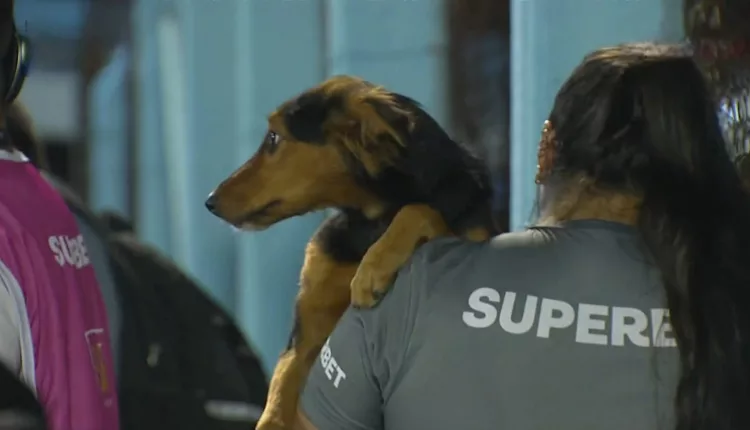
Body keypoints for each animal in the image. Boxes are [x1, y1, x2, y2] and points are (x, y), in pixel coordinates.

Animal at [206, 75, 500, 428]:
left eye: (275, 137)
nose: (209, 201)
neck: (370, 220)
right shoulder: (307, 328)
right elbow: (278, 393)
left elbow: (418, 210)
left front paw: (372, 270)